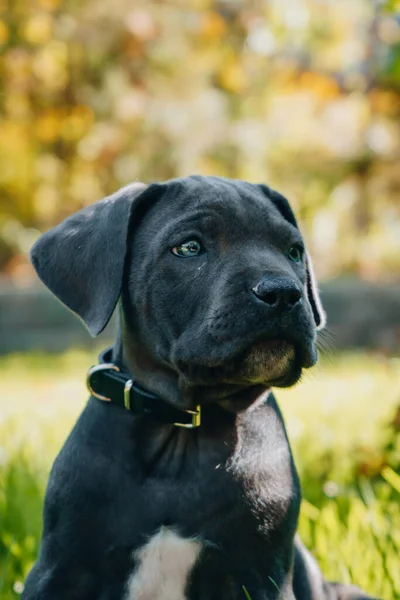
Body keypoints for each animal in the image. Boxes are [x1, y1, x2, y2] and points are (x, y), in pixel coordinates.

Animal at [22, 176, 376, 596]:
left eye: (293, 251)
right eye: (189, 248)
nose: (284, 292)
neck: (183, 425)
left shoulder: (264, 575)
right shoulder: (60, 569)